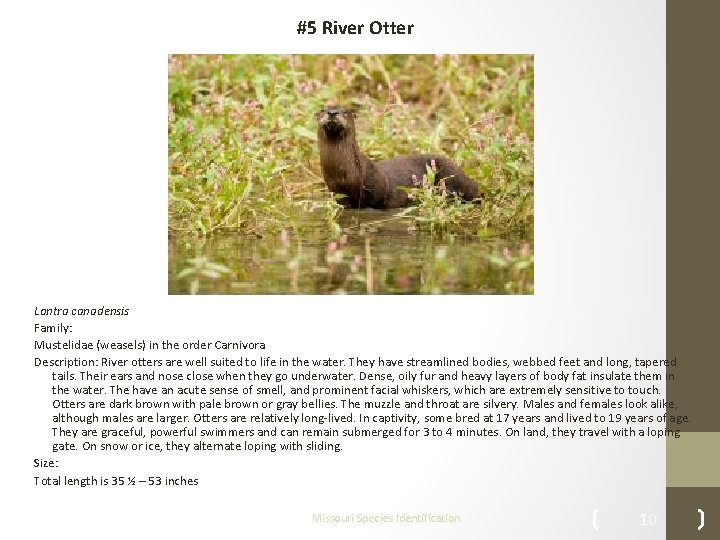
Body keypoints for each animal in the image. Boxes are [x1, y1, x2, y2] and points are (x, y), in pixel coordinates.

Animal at [316, 106, 480, 209]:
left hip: (452, 175)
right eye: (323, 110)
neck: (344, 174)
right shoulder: (336, 190)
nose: (332, 112)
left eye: (344, 111)